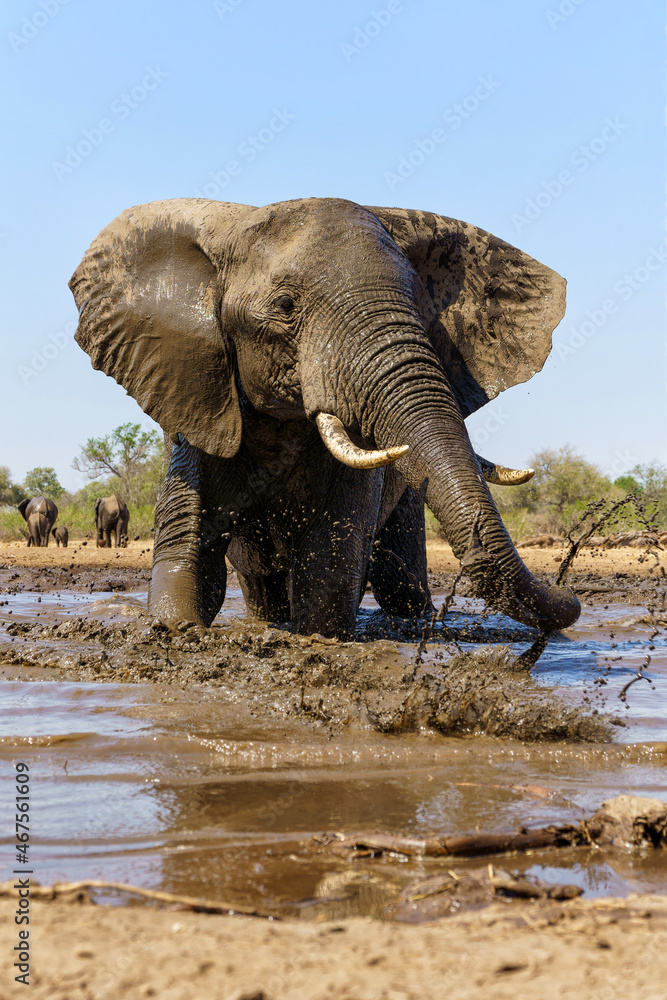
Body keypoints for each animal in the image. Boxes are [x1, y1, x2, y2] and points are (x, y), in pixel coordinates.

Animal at [70, 197, 580, 640]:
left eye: (421, 305)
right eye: (285, 306)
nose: (570, 592)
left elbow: (329, 565)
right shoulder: (201, 406)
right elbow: (190, 561)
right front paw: (175, 626)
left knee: (398, 577)